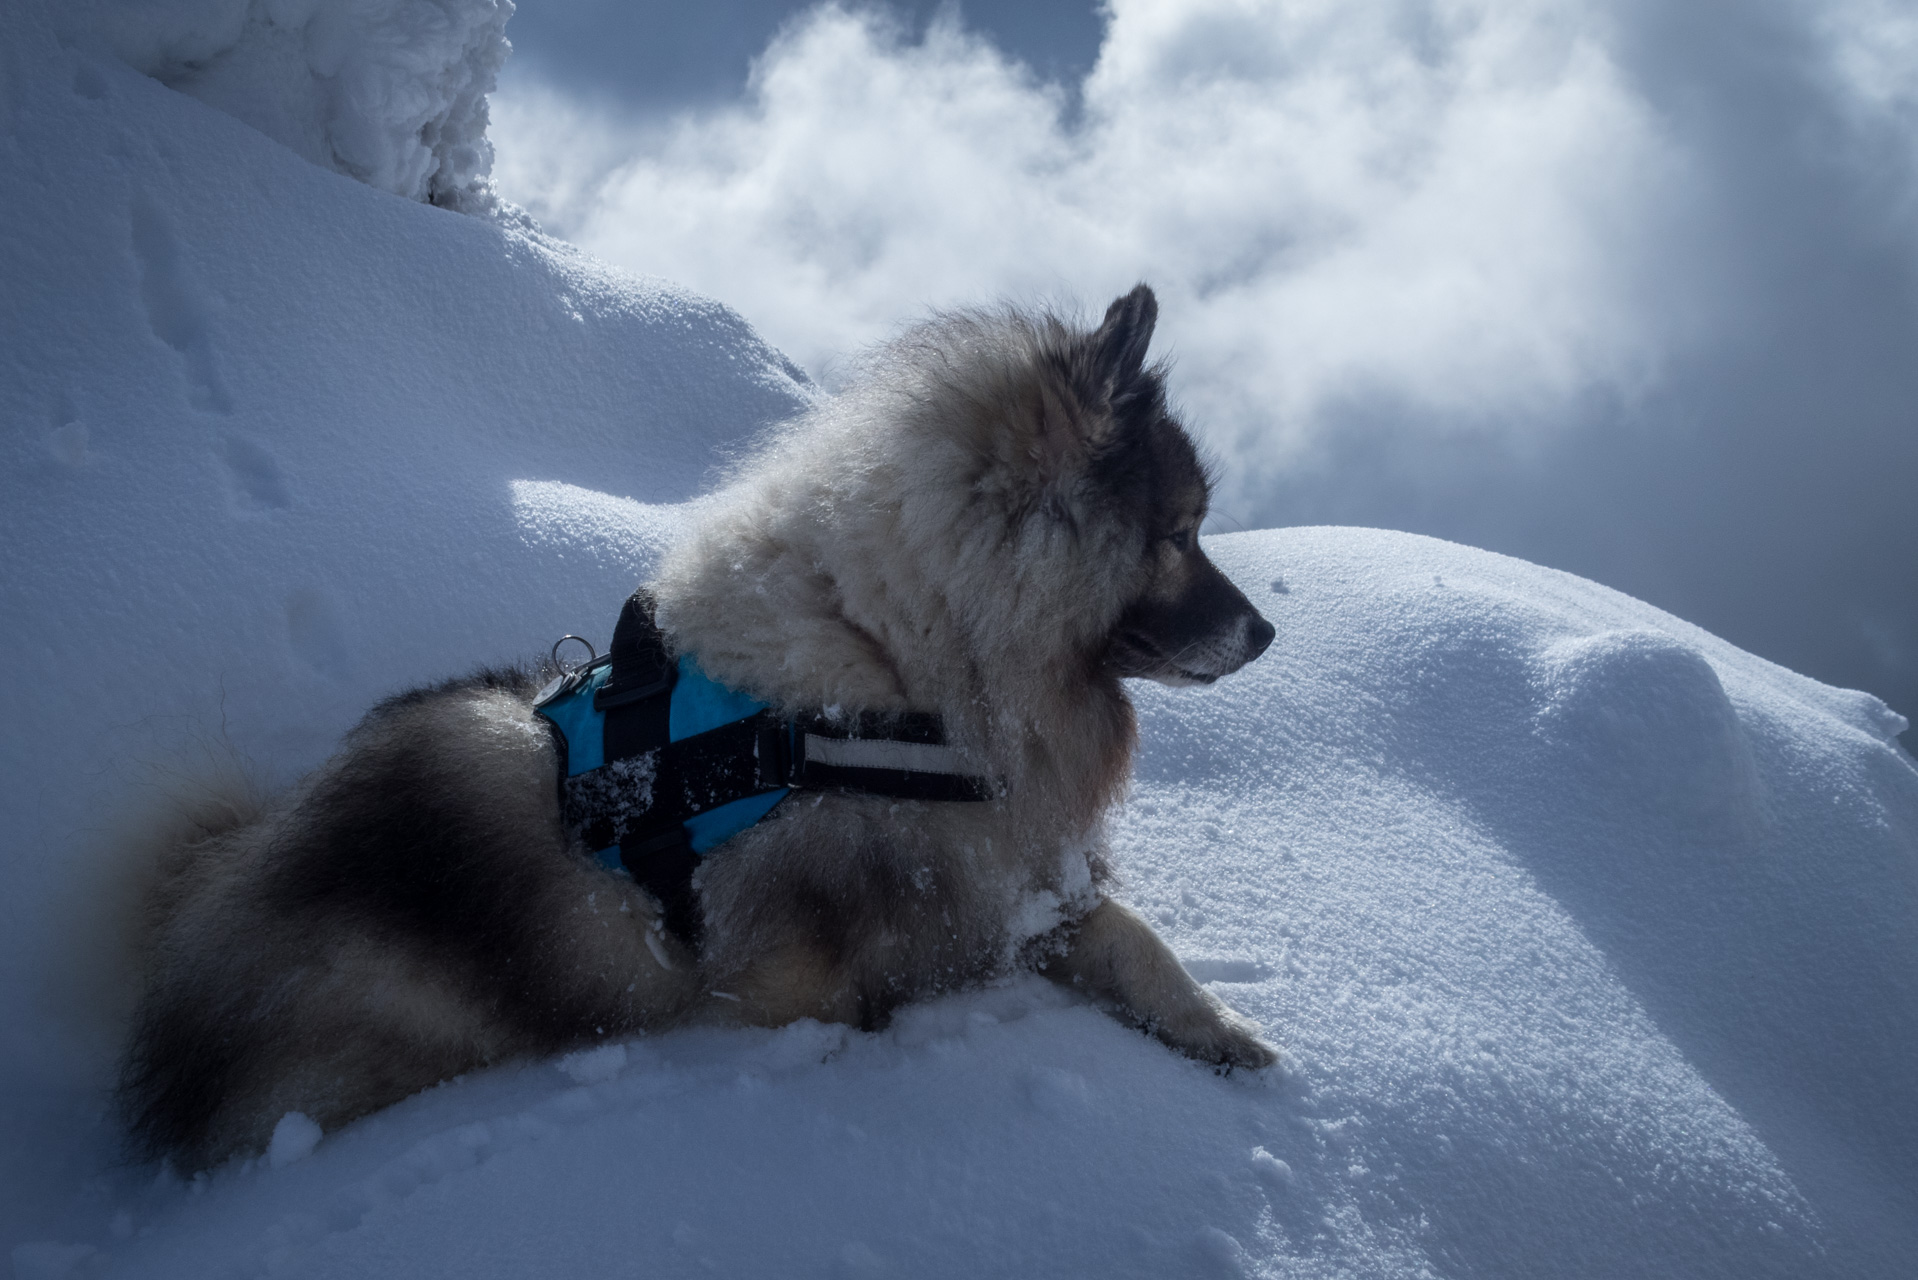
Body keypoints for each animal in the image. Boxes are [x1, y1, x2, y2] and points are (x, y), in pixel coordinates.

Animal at [127, 287, 1281, 1174]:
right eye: (1180, 533)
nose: (1268, 631)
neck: (905, 670)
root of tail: (204, 905)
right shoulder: (800, 984)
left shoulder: (1012, 885)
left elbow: (1135, 942)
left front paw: (1224, 1031)